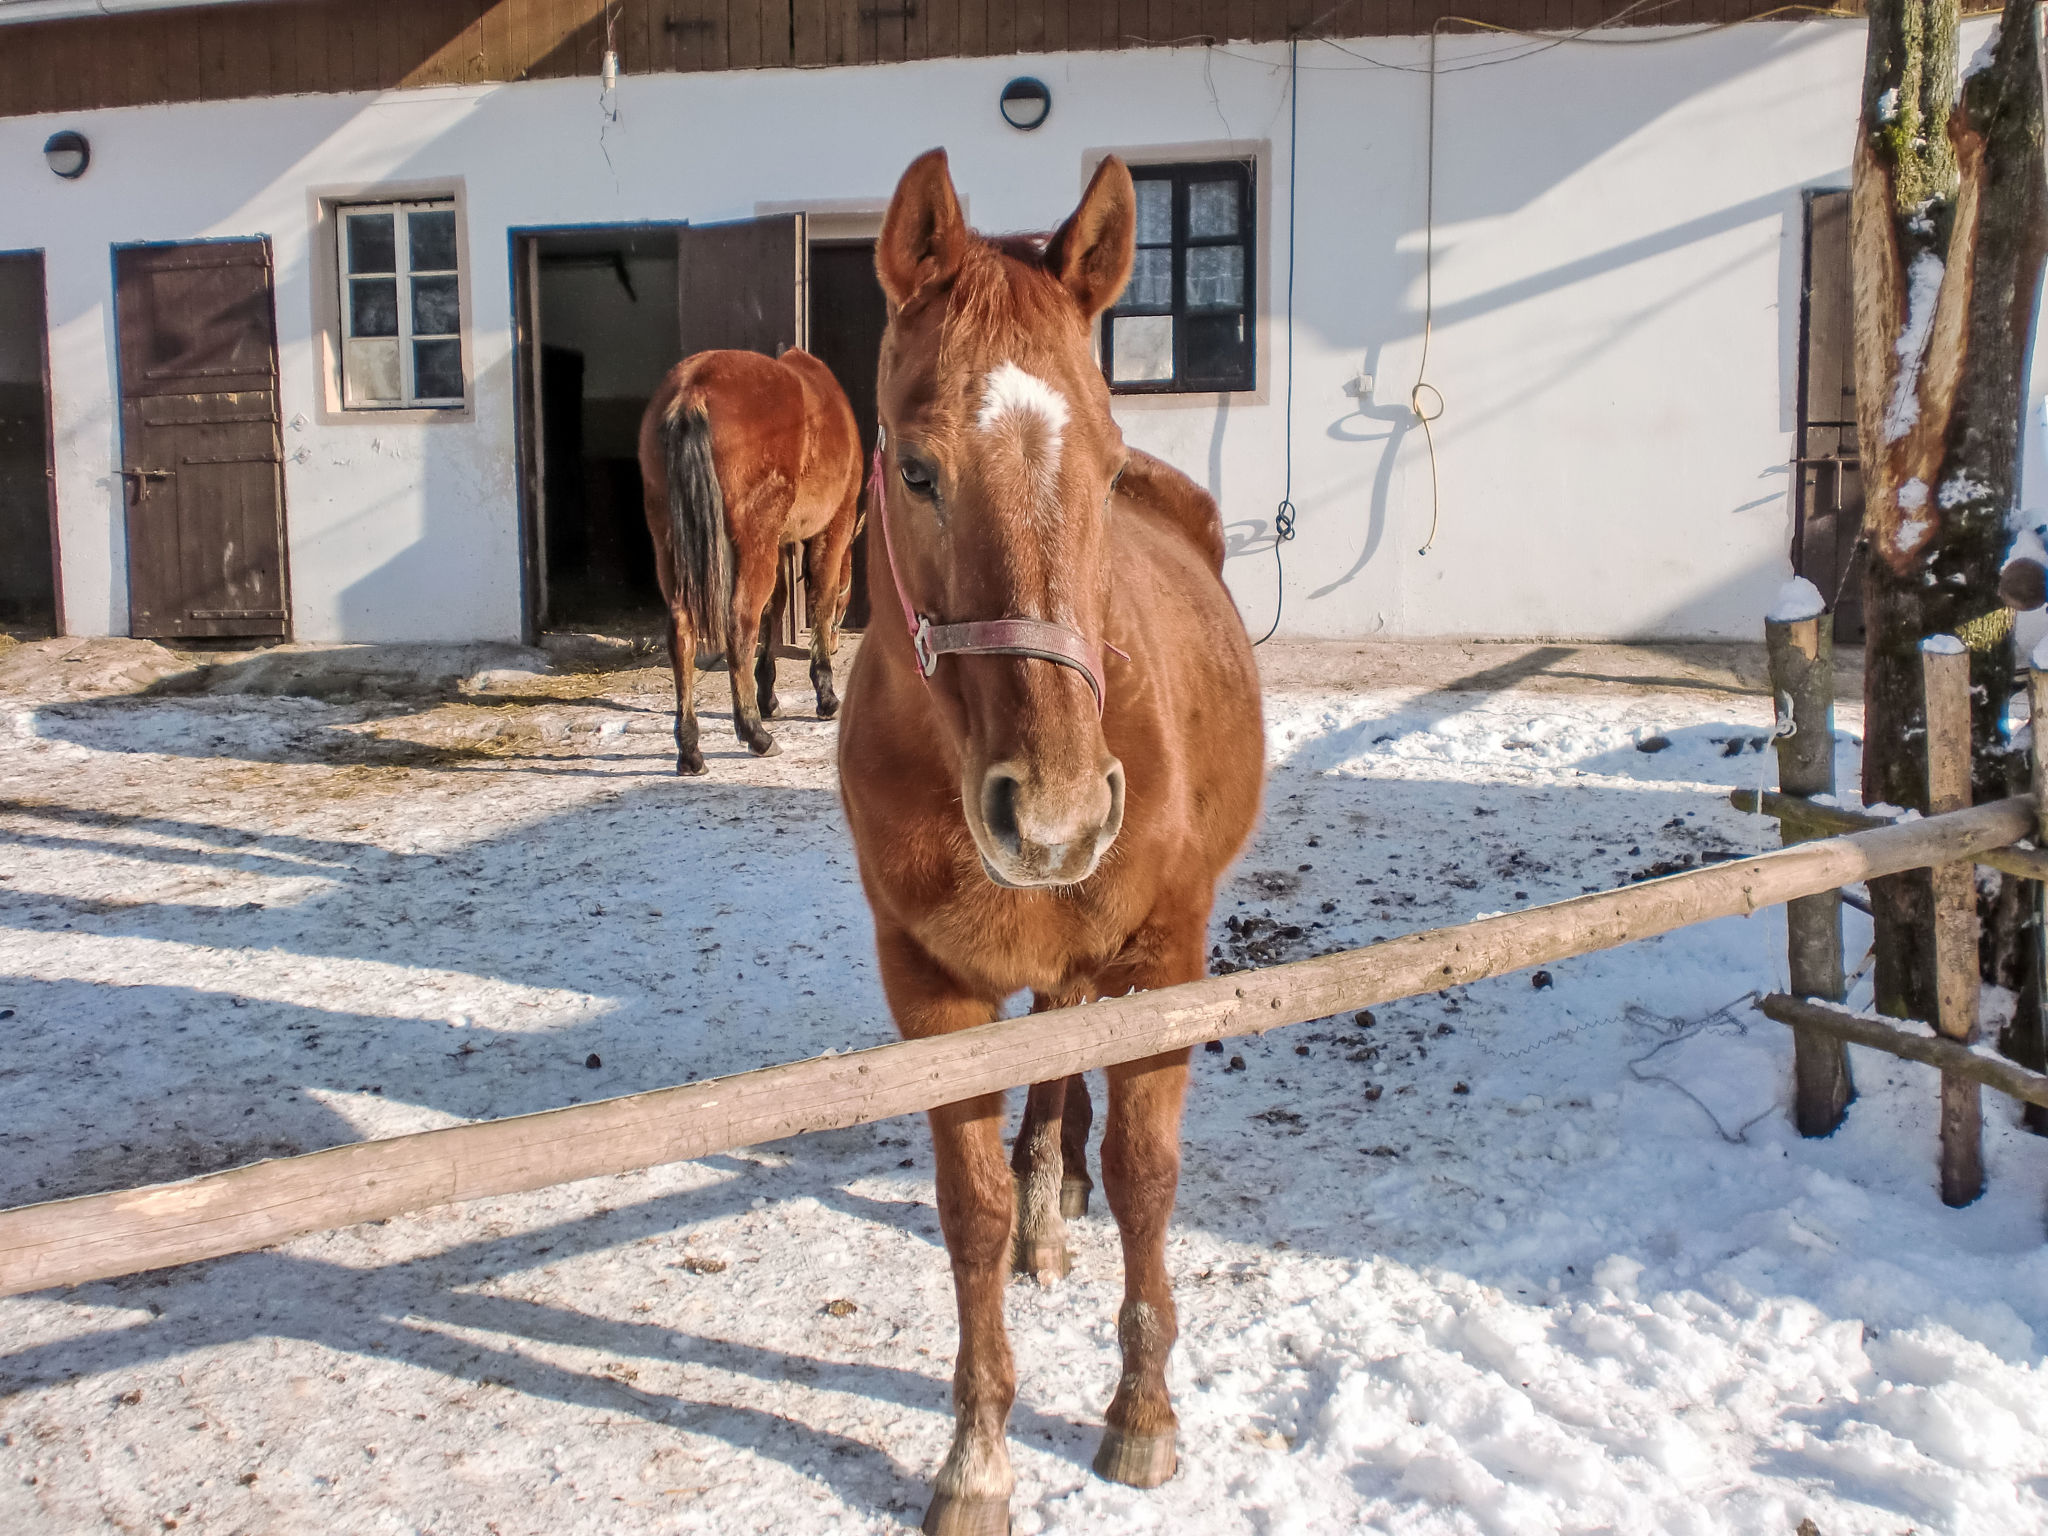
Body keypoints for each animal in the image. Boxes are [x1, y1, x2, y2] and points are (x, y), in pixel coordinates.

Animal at [638, 354, 864, 774]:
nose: (840, 642)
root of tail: (694, 388)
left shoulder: (779, 541)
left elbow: (776, 608)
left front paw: (769, 695)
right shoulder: (833, 526)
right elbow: (818, 601)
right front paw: (825, 695)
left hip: (670, 540)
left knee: (682, 633)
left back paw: (690, 750)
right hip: (754, 540)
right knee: (740, 623)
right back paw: (755, 733)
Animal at [835, 147, 1261, 1536]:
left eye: (1105, 466)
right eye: (917, 470)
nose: (1060, 814)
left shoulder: (1166, 958)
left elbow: (1144, 1172)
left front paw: (1142, 1415)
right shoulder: (929, 990)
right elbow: (965, 1211)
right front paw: (975, 1455)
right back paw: (1041, 1205)